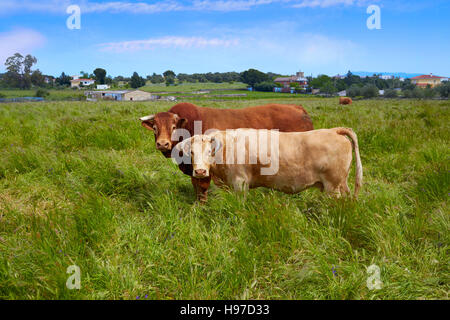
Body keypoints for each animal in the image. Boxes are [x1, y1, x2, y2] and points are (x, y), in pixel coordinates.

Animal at [140, 102, 312, 202]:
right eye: (154, 127)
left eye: (174, 127)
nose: (162, 143)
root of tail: (297, 107)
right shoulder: (194, 169)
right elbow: (196, 186)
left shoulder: (207, 170)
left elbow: (203, 188)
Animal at [178, 127, 364, 200]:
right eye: (191, 152)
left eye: (210, 152)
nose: (200, 172)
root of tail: (333, 130)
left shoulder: (240, 183)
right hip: (341, 184)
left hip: (332, 186)